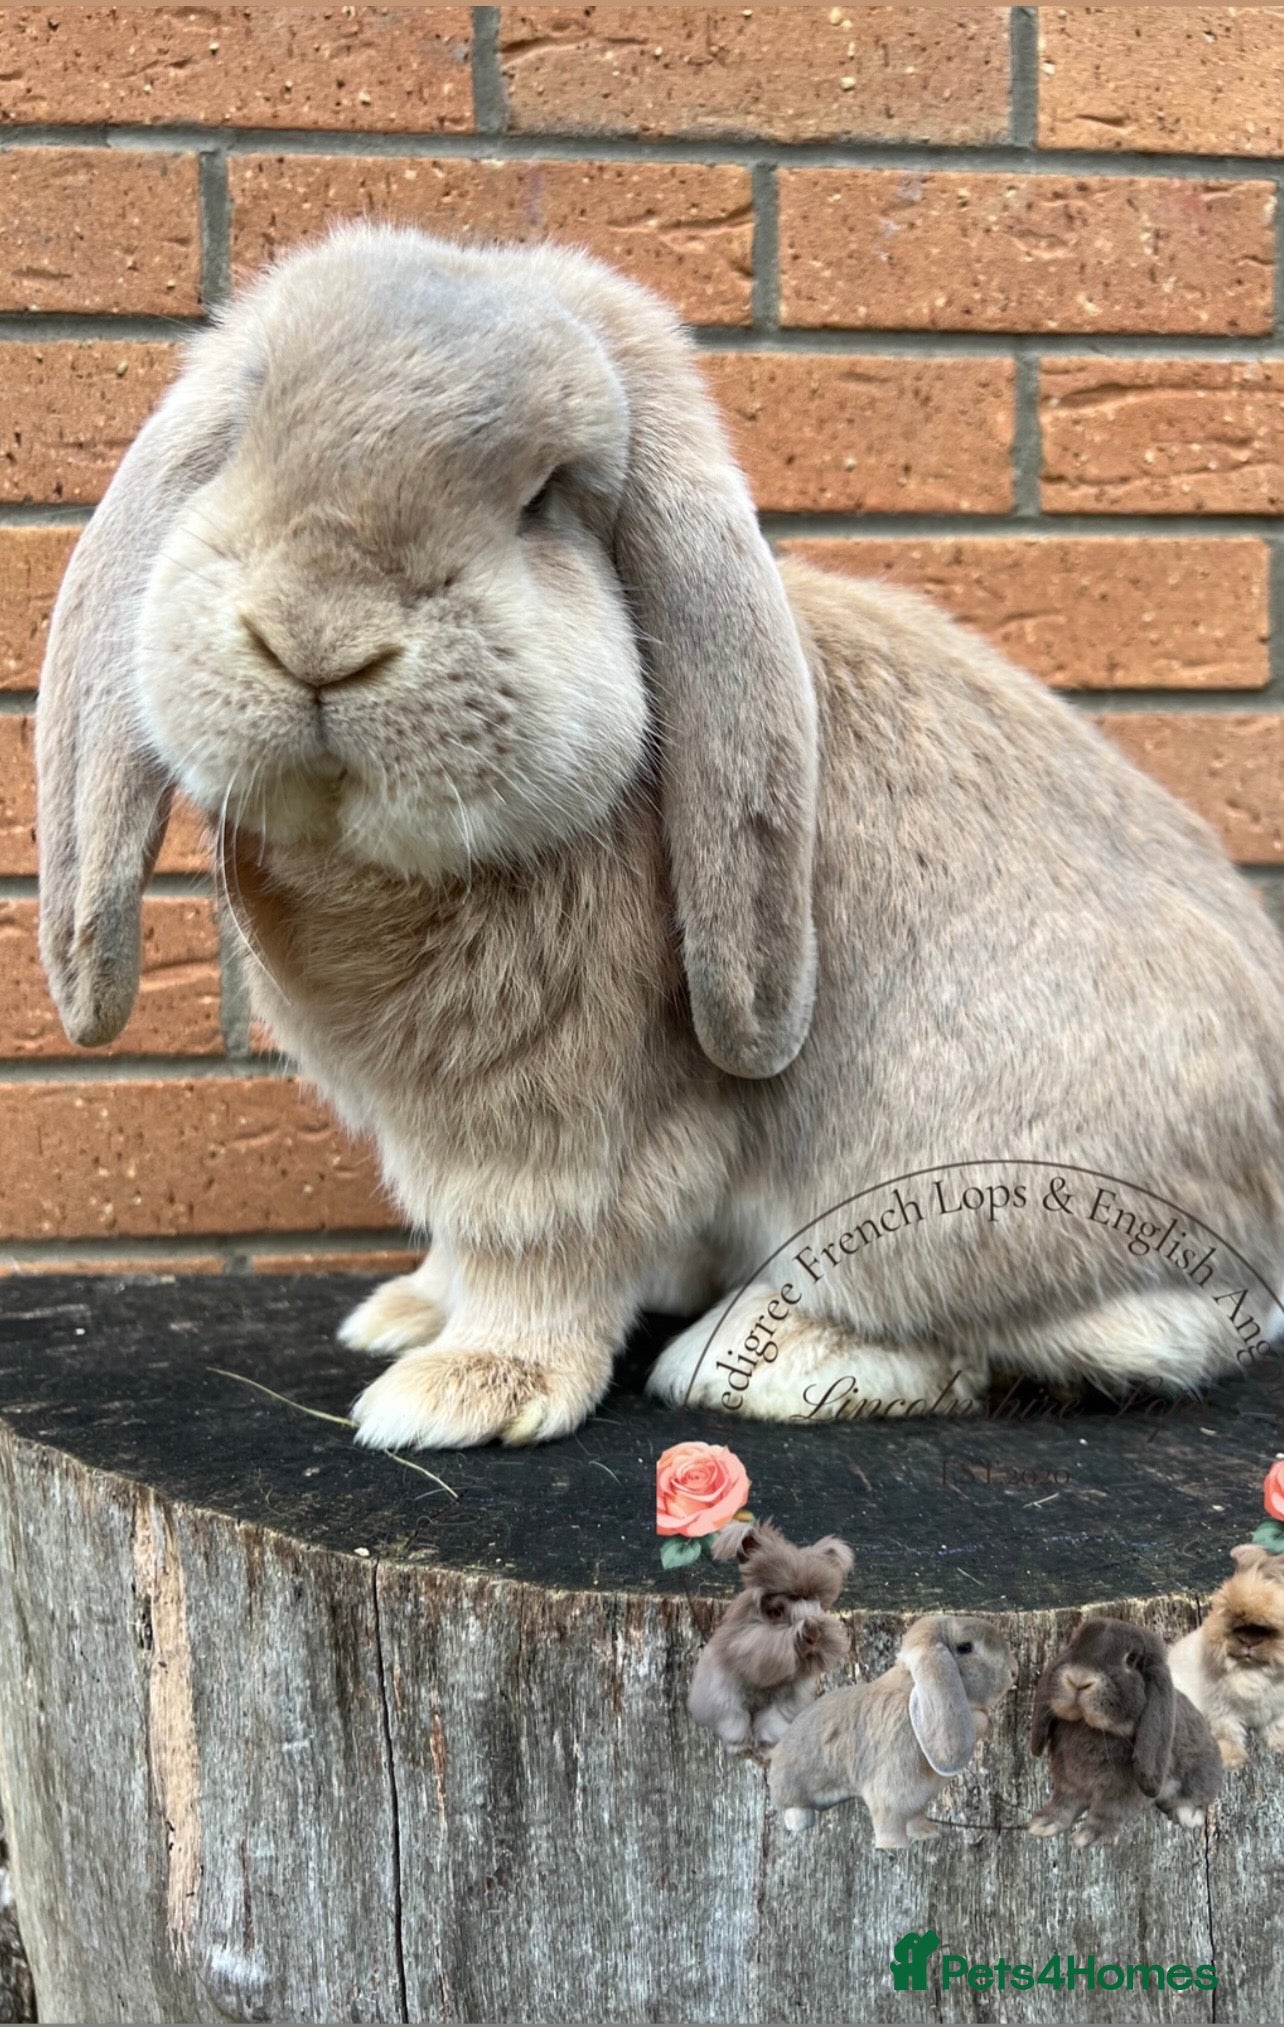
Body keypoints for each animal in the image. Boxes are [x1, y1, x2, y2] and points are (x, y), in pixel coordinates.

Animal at [37, 220, 1284, 1454]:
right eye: (242, 437)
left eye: (548, 497)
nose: (317, 636)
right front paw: (407, 1310)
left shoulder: (562, 1133)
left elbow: (535, 1253)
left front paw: (460, 1390)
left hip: (963, 1183)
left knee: (1130, 1328)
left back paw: (765, 1358)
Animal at [687, 1520, 853, 1753]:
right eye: (775, 1612)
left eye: (818, 1607)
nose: (814, 1636)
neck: (765, 1677)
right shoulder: (725, 1697)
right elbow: (735, 1724)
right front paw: (740, 1748)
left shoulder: (784, 1703)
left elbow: (771, 1724)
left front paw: (767, 1751)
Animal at [768, 1614, 1014, 1846]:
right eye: (965, 1647)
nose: (1012, 1673)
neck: (912, 1688)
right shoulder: (888, 1797)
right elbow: (888, 1826)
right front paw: (895, 1847)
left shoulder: (917, 1801)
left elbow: (915, 1819)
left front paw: (928, 1835)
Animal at [1028, 1615, 1222, 1848]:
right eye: (1074, 1644)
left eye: (1130, 1660)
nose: (1079, 1679)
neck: (1090, 1728)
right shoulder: (1068, 1780)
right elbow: (1063, 1803)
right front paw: (1043, 1823)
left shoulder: (1123, 1790)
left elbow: (1109, 1811)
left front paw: (1090, 1838)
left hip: (1201, 1775)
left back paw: (1188, 1816)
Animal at [1169, 1543, 1284, 1767]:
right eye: (1227, 1613)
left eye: (1267, 1627)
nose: (1248, 1642)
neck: (1252, 1669)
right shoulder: (1222, 1709)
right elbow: (1227, 1733)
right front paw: (1233, 1760)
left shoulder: (1277, 1710)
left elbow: (1276, 1728)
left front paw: (1281, 1746)